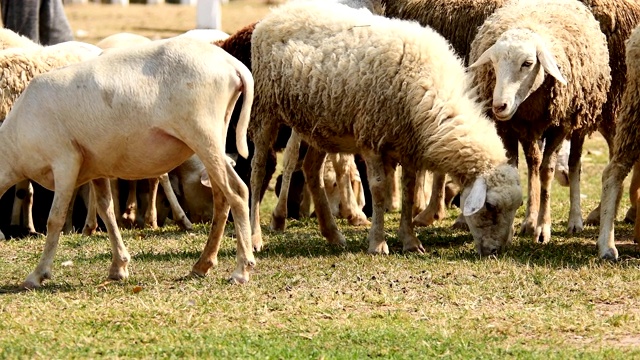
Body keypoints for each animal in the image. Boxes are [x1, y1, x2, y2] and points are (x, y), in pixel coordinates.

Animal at [0, 36, 255, 288]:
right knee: (221, 197)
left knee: (237, 191)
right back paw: (202, 265)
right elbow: (106, 211)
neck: (13, 147)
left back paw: (241, 269)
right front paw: (119, 267)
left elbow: (55, 218)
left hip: (202, 132)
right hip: (215, 136)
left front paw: (37, 275)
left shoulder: (65, 161)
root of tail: (231, 64)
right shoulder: (95, 168)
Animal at [248, 2, 524, 256]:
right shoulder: (371, 137)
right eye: (490, 207)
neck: (432, 90)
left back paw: (333, 234)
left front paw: (410, 241)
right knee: (258, 170)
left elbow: (409, 190)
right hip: (265, 108)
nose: (495, 251)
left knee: (311, 169)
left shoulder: (409, 144)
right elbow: (379, 189)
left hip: (320, 124)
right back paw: (255, 237)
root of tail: (276, 13)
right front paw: (378, 243)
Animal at [468, 0, 612, 245]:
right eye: (494, 63)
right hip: (530, 130)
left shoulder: (560, 127)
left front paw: (543, 228)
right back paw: (529, 221)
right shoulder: (509, 127)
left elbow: (547, 172)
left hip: (580, 120)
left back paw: (575, 220)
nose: (499, 106)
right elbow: (517, 171)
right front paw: (513, 229)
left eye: (527, 63)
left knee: (574, 165)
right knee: (533, 163)